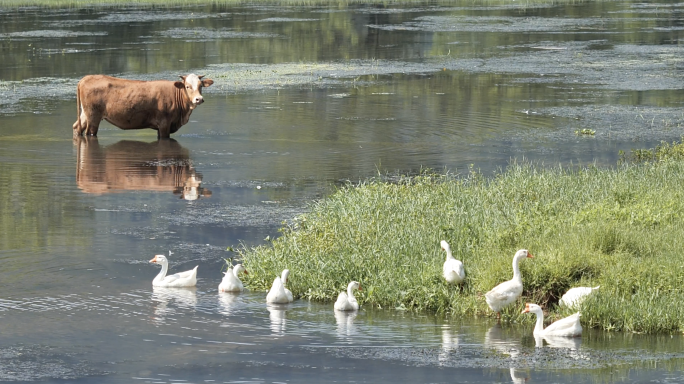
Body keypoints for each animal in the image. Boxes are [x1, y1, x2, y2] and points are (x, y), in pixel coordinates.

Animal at [71, 73, 212, 138]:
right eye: (187, 86)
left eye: (200, 86)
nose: (199, 99)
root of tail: (86, 78)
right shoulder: (164, 124)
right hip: (93, 116)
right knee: (89, 132)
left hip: (85, 114)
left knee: (77, 127)